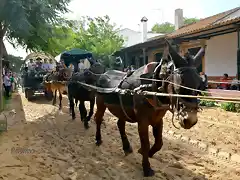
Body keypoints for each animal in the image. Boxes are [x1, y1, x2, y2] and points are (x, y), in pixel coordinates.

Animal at [93, 39, 205, 177]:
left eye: (199, 86)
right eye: (179, 86)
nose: (190, 120)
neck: (151, 86)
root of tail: (104, 73)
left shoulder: (158, 119)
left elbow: (159, 143)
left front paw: (147, 153)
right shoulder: (143, 121)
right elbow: (146, 143)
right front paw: (146, 167)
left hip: (121, 110)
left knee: (120, 124)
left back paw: (126, 147)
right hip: (100, 103)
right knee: (98, 119)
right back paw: (98, 139)